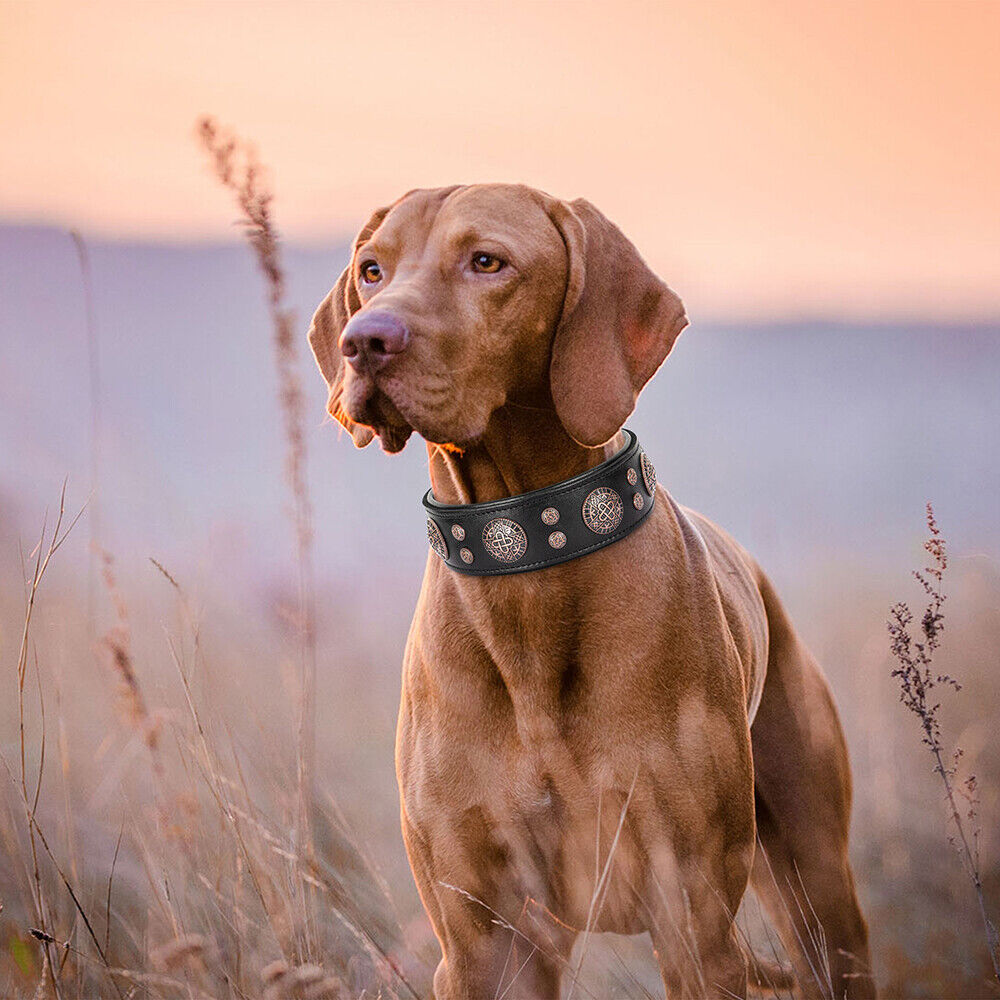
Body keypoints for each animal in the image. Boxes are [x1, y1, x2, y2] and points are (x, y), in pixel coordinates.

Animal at [308, 184, 872, 996]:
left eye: (487, 262)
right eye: (372, 269)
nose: (364, 340)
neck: (527, 559)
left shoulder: (691, 916)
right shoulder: (483, 940)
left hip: (818, 889)